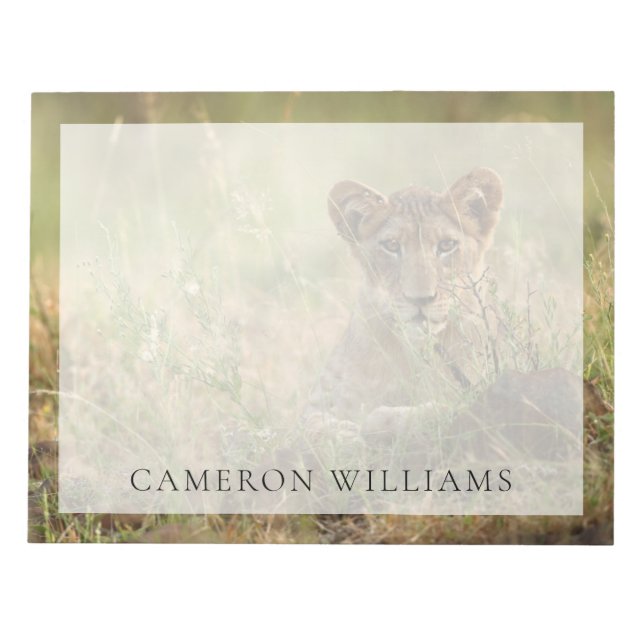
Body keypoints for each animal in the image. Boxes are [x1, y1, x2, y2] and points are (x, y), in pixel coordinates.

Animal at [302, 167, 504, 436]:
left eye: (446, 245)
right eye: (392, 245)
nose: (420, 299)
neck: (414, 354)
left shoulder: (478, 390)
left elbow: (436, 409)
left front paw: (378, 422)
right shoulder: (317, 404)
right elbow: (311, 428)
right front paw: (344, 434)